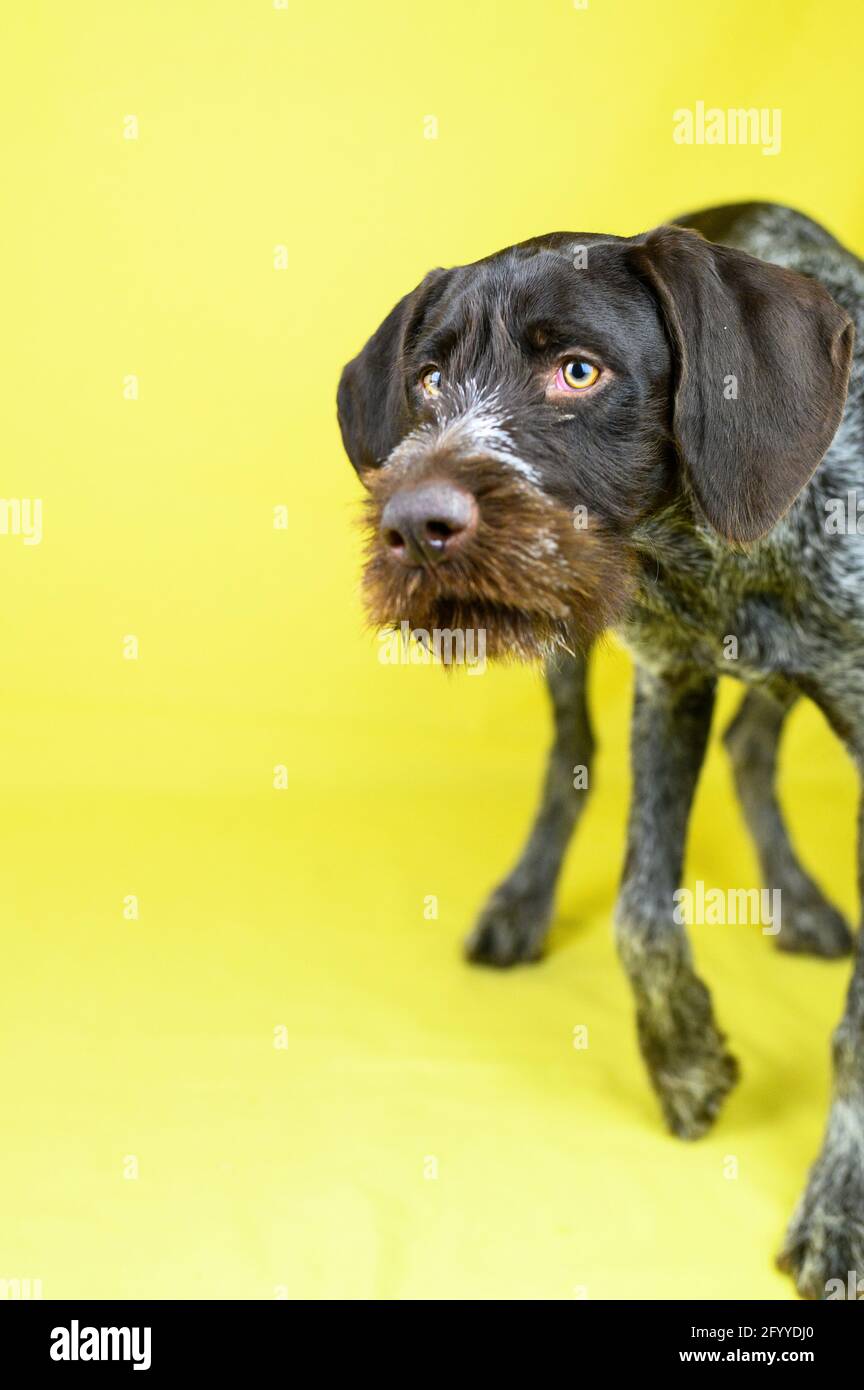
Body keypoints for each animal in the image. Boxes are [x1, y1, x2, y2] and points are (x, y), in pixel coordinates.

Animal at [338, 201, 864, 1295]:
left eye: (578, 371)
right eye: (430, 380)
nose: (412, 523)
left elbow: (859, 1022)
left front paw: (840, 1204)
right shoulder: (670, 681)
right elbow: (638, 914)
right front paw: (687, 1060)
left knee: (753, 746)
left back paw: (793, 894)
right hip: (568, 635)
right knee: (569, 769)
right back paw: (523, 904)